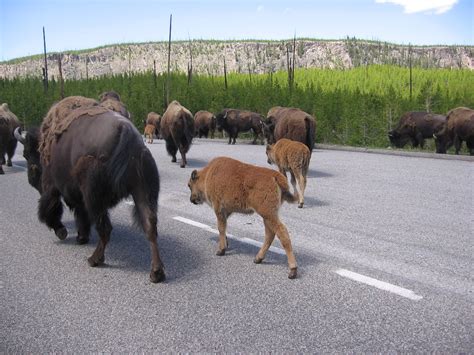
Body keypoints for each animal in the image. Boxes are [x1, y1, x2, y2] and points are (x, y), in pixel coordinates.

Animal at [14, 96, 166, 284]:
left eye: (27, 154)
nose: (31, 178)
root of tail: (126, 133)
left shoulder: (53, 186)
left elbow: (51, 209)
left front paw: (63, 232)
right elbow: (80, 215)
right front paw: (81, 237)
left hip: (95, 197)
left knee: (105, 228)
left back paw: (94, 260)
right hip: (143, 192)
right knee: (150, 226)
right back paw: (156, 272)